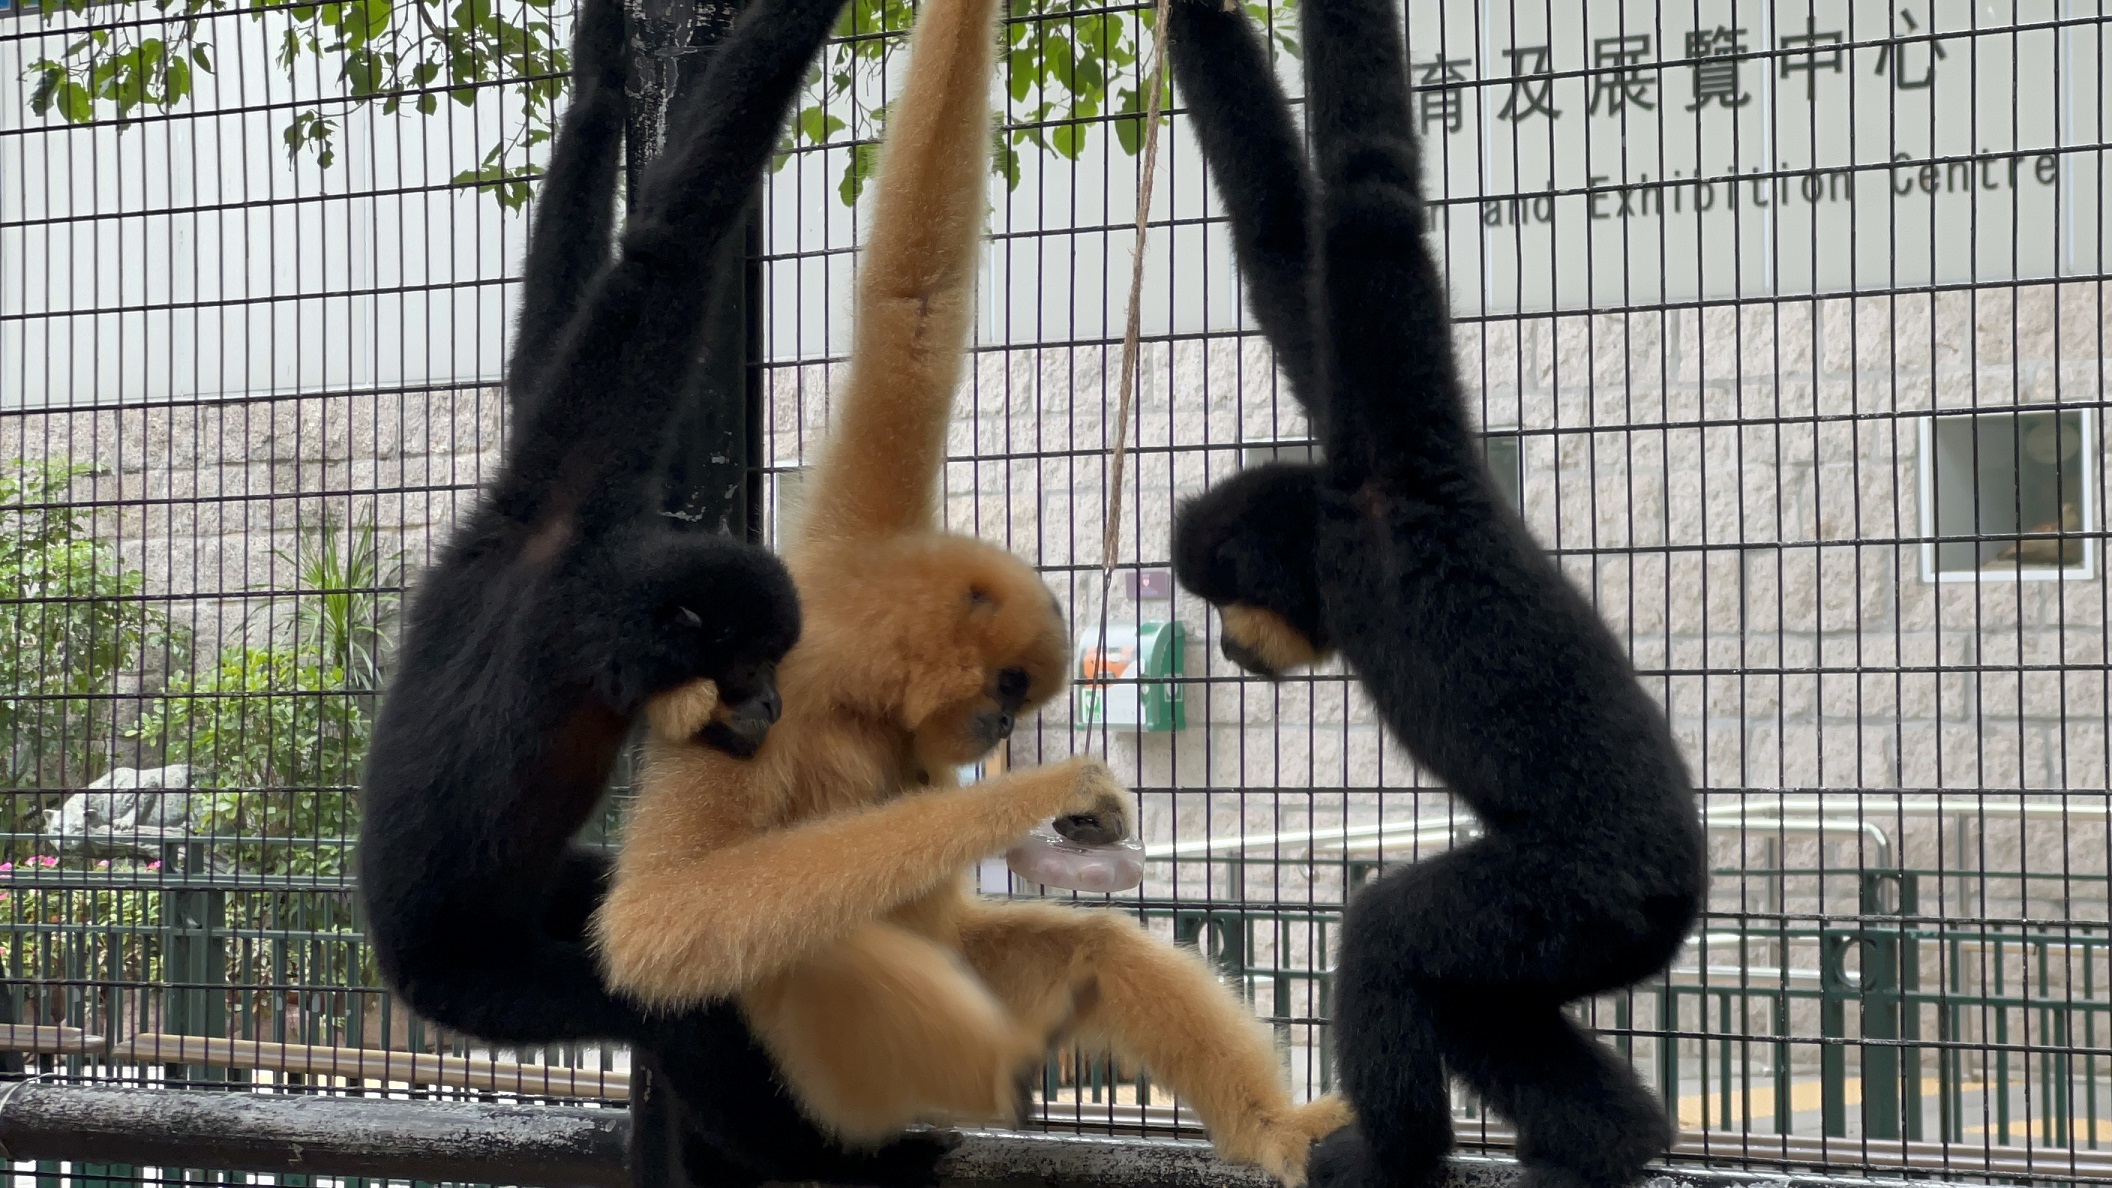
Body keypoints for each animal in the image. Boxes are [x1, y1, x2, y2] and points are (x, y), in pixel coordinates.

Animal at [355, 0, 952, 1179]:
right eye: (751, 665)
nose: (769, 701)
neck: (585, 590)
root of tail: (398, 958)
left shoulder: (541, 509)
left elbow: (556, 354)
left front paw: (597, 72)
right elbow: (671, 244)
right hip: (485, 983)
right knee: (658, 998)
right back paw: (837, 1157)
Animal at [584, 0, 1352, 1175]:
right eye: (1006, 693)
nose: (997, 733)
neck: (851, 678)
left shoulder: (851, 533)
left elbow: (913, 301)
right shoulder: (747, 678)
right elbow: (663, 921)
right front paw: (1033, 796)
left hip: (974, 959)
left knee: (1094, 953)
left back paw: (1274, 1128)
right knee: (817, 944)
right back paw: (990, 1078)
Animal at [1162, 1, 1709, 1187]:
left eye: (1223, 601)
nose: (1223, 646)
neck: (1343, 543)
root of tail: (1680, 886)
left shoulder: (1394, 457)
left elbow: (1367, 197)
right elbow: (1285, 245)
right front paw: (1189, 19)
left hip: (1582, 896)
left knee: (1390, 936)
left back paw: (1389, 1153)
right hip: (1574, 934)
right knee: (1479, 1007)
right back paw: (1616, 1143)